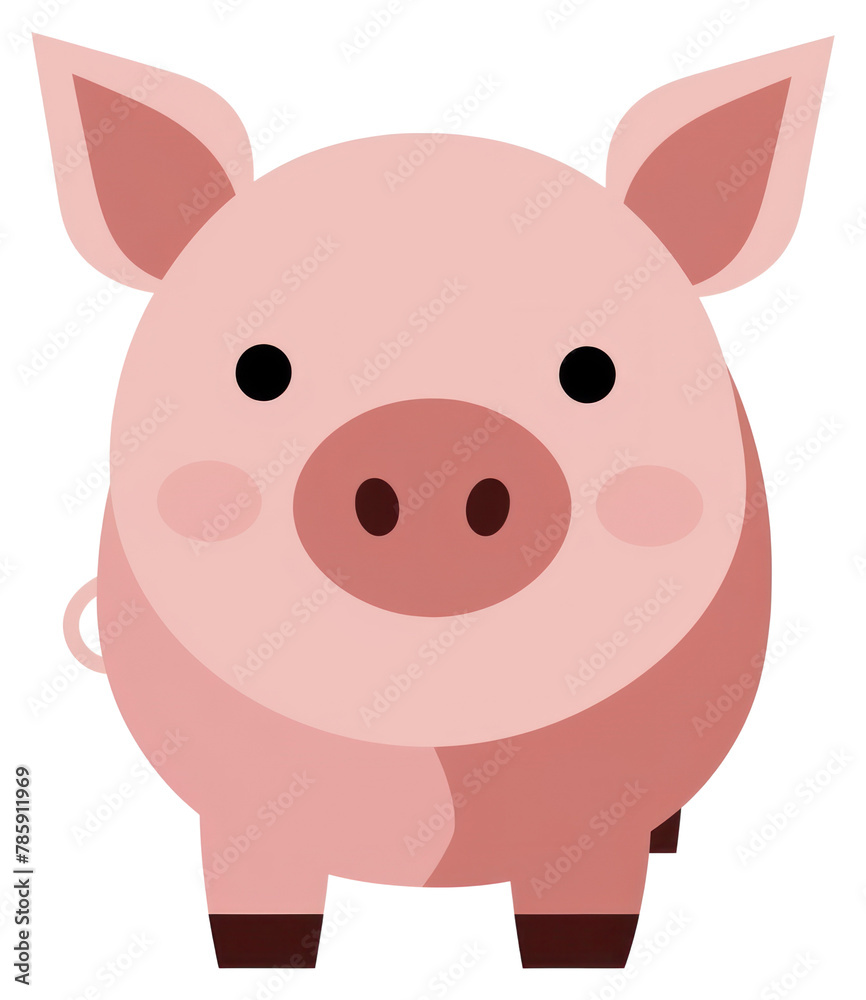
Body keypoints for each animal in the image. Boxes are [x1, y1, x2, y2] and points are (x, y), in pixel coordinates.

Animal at [40, 34, 830, 968]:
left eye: (591, 372)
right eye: (259, 370)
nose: (427, 453)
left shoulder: (597, 820)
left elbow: (590, 904)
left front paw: (579, 963)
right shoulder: (240, 810)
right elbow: (255, 898)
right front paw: (259, 961)